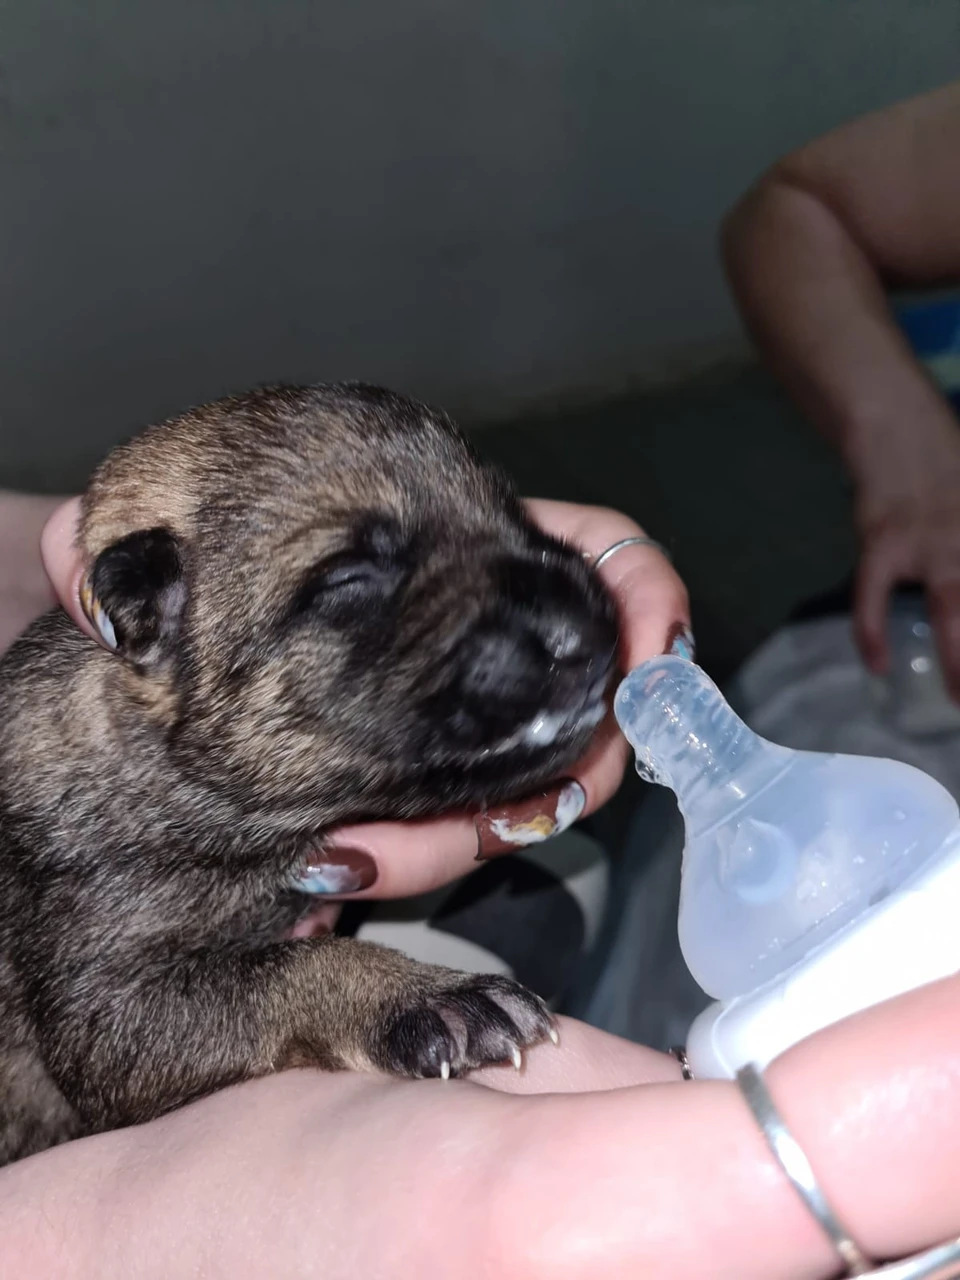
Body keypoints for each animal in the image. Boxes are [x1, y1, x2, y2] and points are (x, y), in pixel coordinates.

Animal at [0, 381, 616, 1172]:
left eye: (516, 514)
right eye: (349, 580)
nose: (587, 626)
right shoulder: (111, 1006)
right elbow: (289, 964)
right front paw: (429, 995)